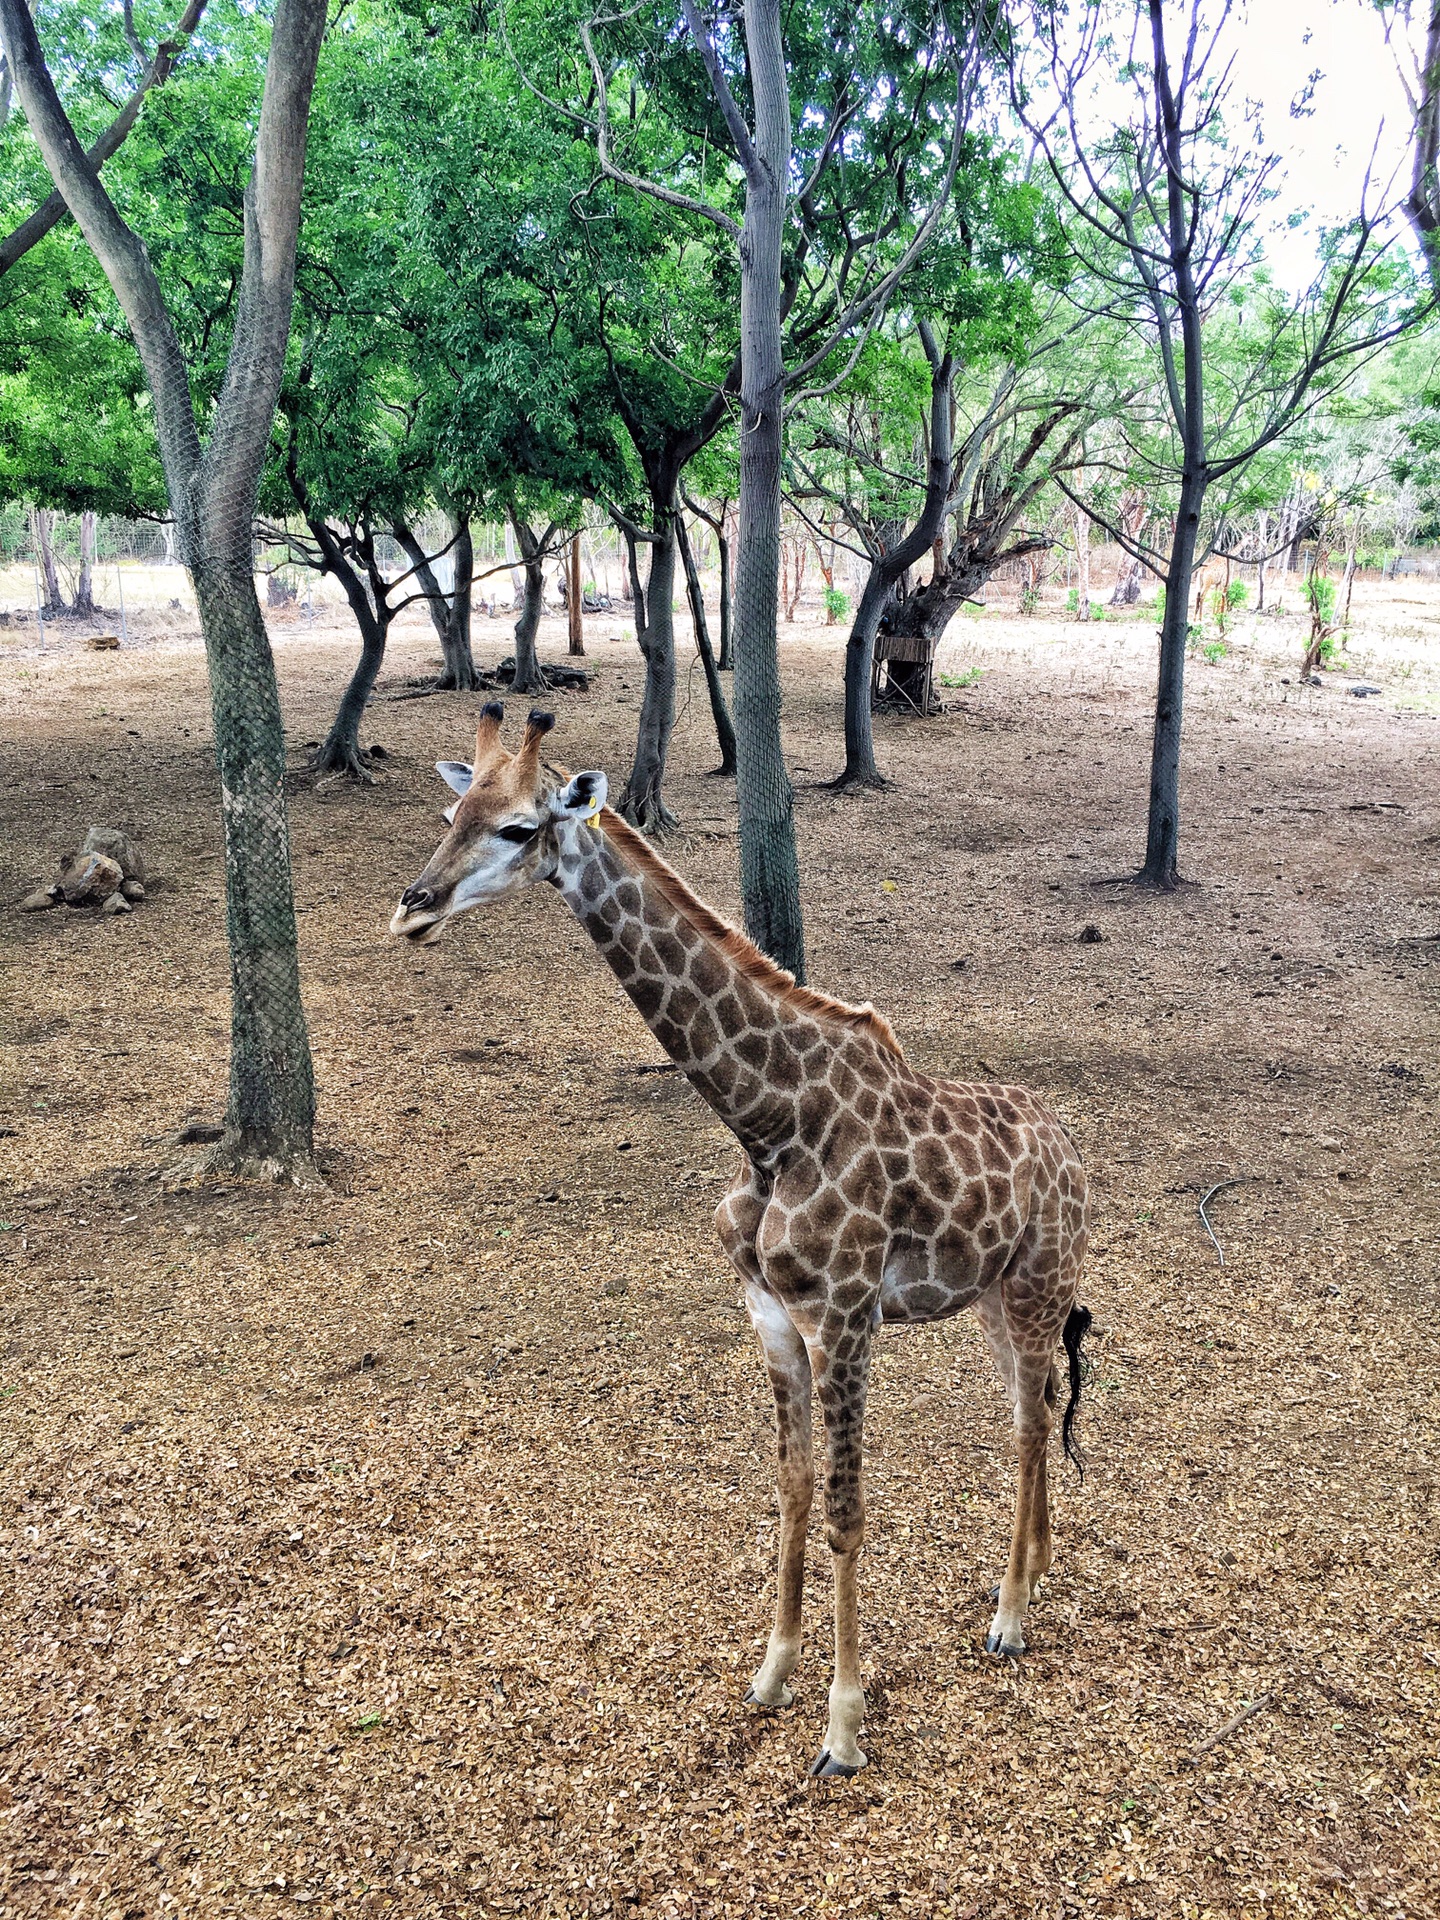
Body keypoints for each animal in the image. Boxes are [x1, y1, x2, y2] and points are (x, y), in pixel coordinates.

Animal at [391, 706, 1090, 1781]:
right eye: (450, 814)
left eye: (517, 828)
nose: (412, 911)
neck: (770, 1126)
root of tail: (1074, 1154)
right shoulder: (769, 1312)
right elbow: (793, 1490)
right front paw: (772, 1678)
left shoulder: (845, 1315)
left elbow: (845, 1509)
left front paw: (842, 1728)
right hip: (987, 1298)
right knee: (1036, 1407)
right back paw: (1035, 1573)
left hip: (1037, 1285)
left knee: (1024, 1425)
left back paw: (1011, 1617)